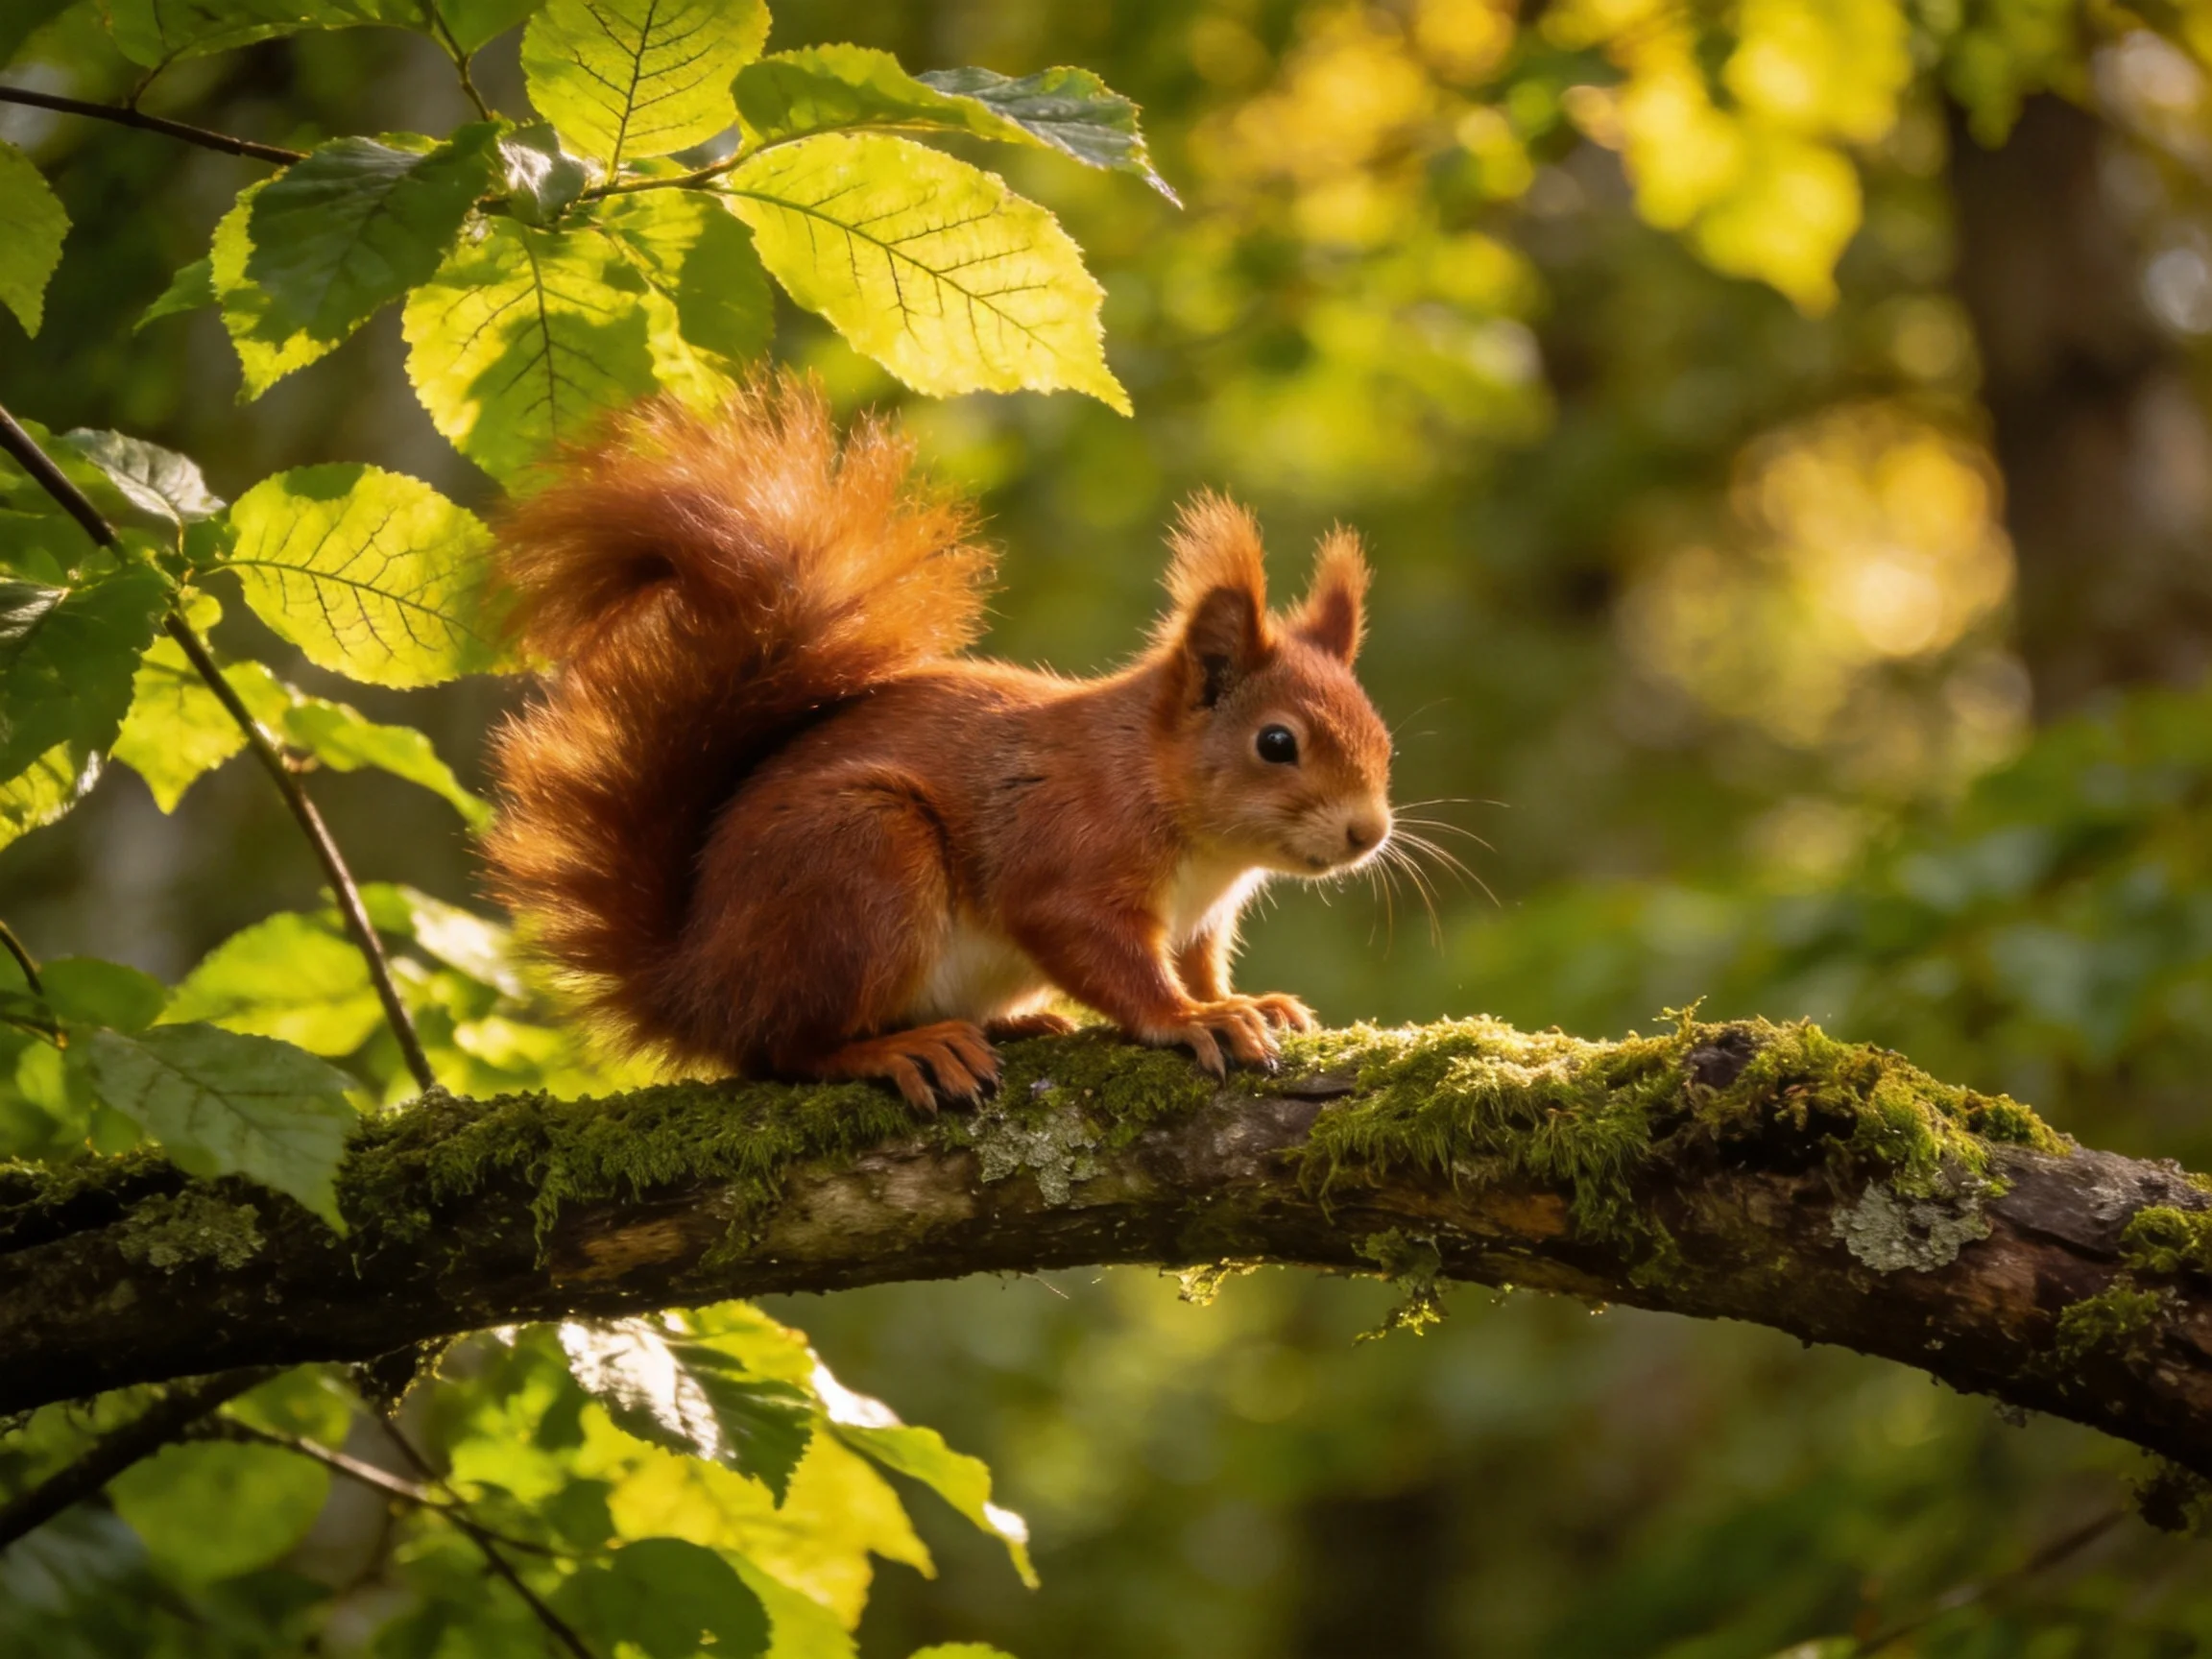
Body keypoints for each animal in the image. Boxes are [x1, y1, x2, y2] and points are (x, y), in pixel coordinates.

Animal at [484, 374, 1394, 1111]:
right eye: (1276, 743)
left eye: (1383, 739)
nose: (1368, 833)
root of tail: (694, 985)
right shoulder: (1069, 854)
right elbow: (1108, 957)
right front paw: (1193, 1018)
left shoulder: (1200, 921)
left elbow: (1201, 960)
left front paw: (1250, 1001)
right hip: (861, 864)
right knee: (786, 1047)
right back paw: (899, 1049)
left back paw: (1021, 1023)